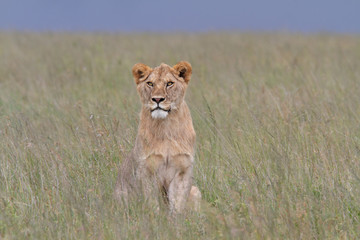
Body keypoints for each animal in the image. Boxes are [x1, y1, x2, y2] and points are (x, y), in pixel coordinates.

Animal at [114, 61, 201, 213]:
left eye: (169, 83)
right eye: (150, 83)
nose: (158, 99)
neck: (166, 127)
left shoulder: (183, 170)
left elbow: (177, 204)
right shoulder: (147, 170)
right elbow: (152, 202)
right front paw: (155, 218)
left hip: (196, 191)